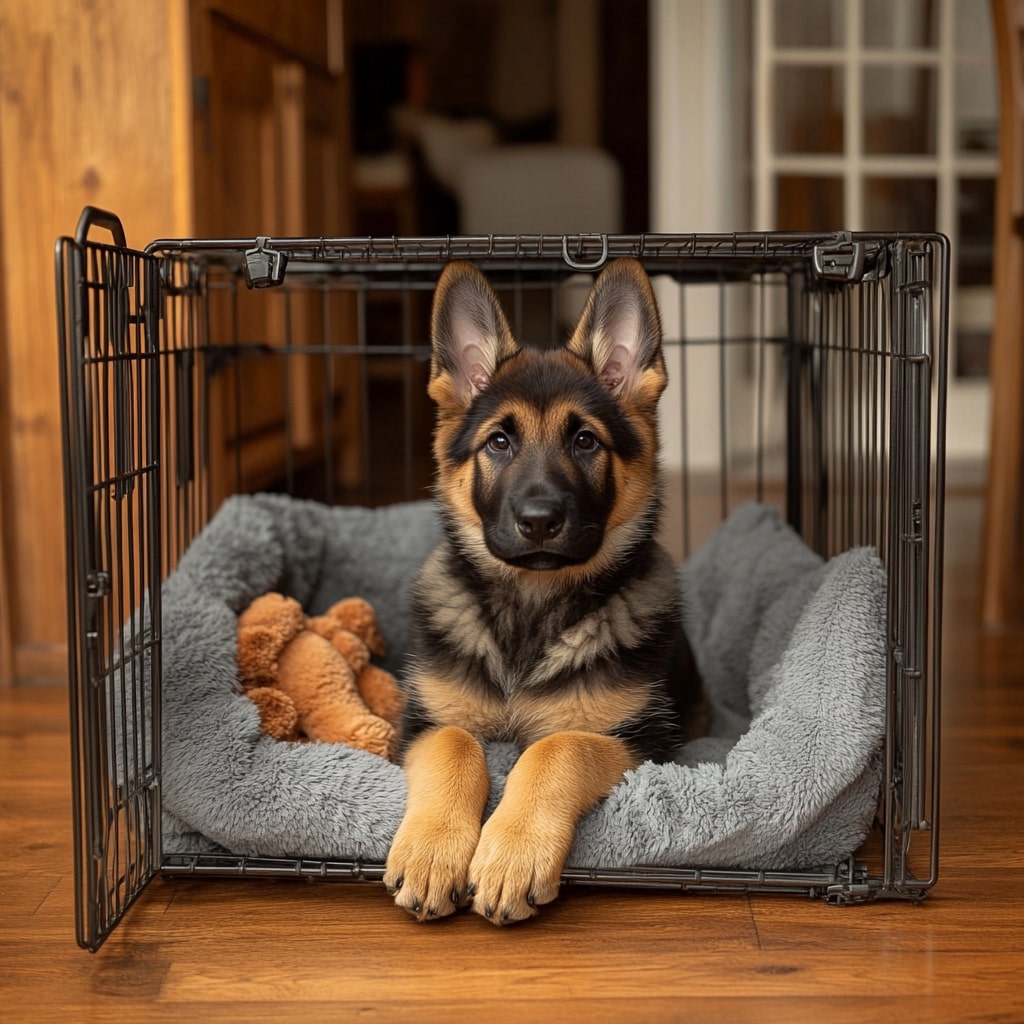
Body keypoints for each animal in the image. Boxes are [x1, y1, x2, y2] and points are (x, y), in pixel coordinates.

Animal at [385, 258, 704, 929]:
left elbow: (558, 748)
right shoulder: (423, 722)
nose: (538, 520)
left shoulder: (642, 742)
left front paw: (511, 855)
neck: (531, 607)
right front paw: (432, 853)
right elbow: (456, 742)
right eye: (498, 443)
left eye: (585, 442)